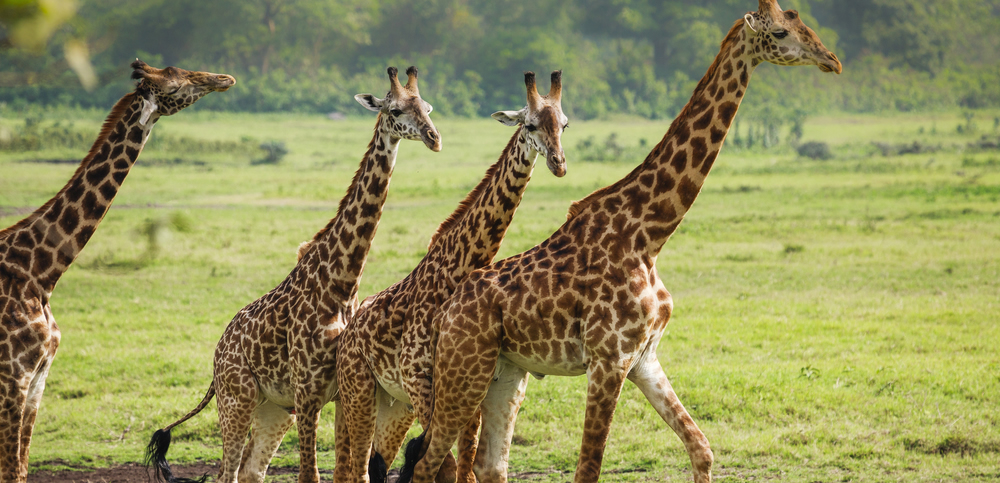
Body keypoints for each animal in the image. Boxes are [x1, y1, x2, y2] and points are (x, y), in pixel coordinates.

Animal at [0, 59, 234, 483]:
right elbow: (12, 470)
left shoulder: (37, 381)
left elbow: (21, 468)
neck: (40, 272)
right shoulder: (14, 378)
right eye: (176, 79)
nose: (223, 78)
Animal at [146, 67, 444, 483]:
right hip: (237, 399)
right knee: (227, 472)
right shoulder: (307, 391)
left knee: (250, 470)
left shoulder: (339, 391)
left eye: (428, 107)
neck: (342, 282)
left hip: (272, 407)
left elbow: (345, 472)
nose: (434, 138)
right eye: (397, 109)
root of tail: (217, 354)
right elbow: (310, 474)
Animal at [336, 72, 572, 483]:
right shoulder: (421, 381)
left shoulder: (473, 386)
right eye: (529, 125)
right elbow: (437, 462)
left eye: (564, 124)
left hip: (394, 403)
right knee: (358, 466)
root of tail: (350, 331)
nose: (558, 164)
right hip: (361, 391)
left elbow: (465, 461)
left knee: (378, 461)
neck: (459, 268)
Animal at [398, 1, 844, 482]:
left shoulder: (643, 357)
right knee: (428, 462)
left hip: (506, 372)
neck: (649, 236)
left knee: (488, 463)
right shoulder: (607, 360)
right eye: (780, 32)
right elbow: (588, 468)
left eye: (804, 22)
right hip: (464, 370)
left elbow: (701, 448)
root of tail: (444, 313)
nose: (832, 61)